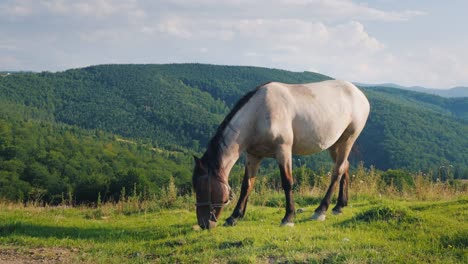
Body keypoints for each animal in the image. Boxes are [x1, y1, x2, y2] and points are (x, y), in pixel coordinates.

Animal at [193, 80, 370, 229]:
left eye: (204, 189)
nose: (204, 224)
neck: (258, 113)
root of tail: (359, 94)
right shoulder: (253, 156)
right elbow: (246, 185)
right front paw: (234, 217)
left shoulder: (283, 151)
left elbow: (287, 183)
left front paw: (288, 217)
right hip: (335, 144)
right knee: (344, 166)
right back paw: (339, 205)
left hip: (348, 139)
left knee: (337, 171)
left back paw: (321, 210)